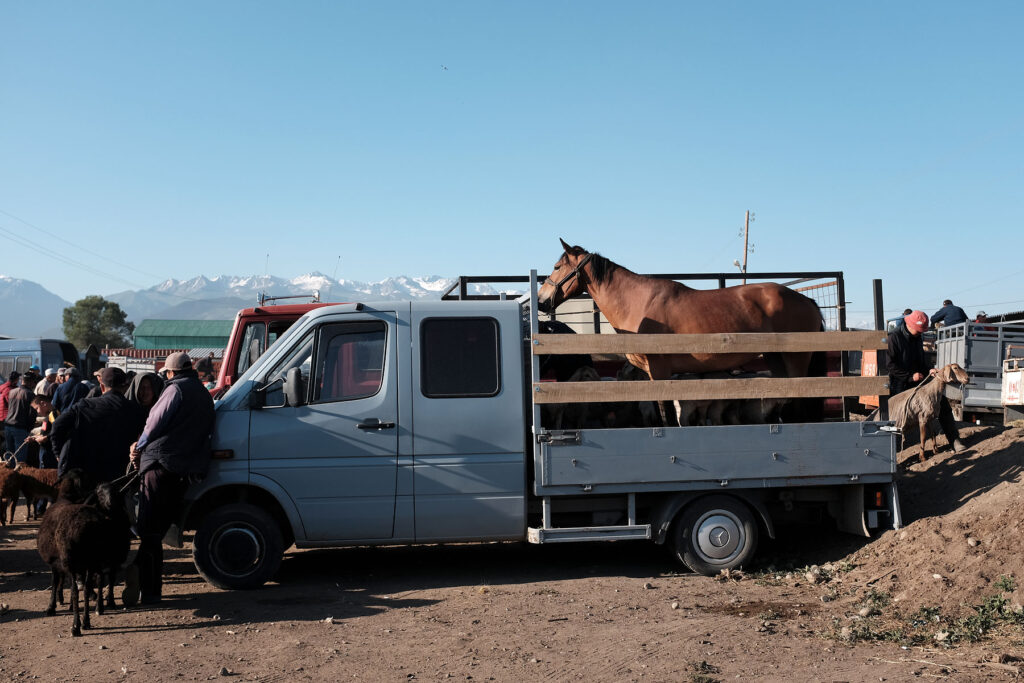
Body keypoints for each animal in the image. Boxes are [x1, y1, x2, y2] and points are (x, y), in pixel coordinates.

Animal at [536, 239, 825, 424]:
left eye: (556, 267)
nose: (540, 301)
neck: (638, 302)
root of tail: (805, 300)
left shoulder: (661, 370)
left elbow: (665, 411)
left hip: (796, 361)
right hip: (776, 360)